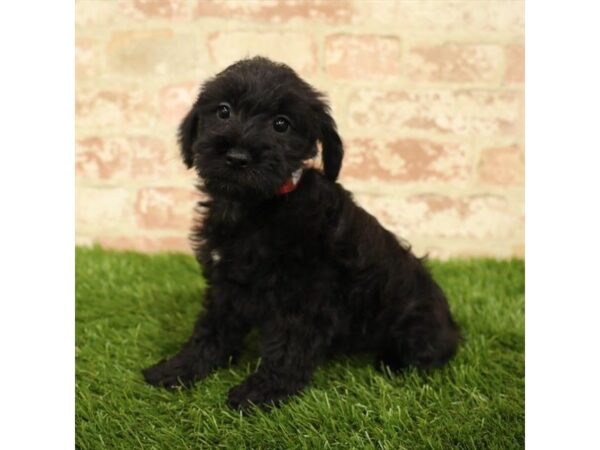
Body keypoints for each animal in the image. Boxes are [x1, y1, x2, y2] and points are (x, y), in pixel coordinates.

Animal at [143, 55, 462, 408]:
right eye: (223, 111)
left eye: (281, 124)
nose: (237, 157)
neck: (259, 206)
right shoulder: (227, 283)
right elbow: (211, 328)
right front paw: (179, 368)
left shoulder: (304, 295)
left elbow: (287, 346)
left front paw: (261, 392)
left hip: (414, 321)